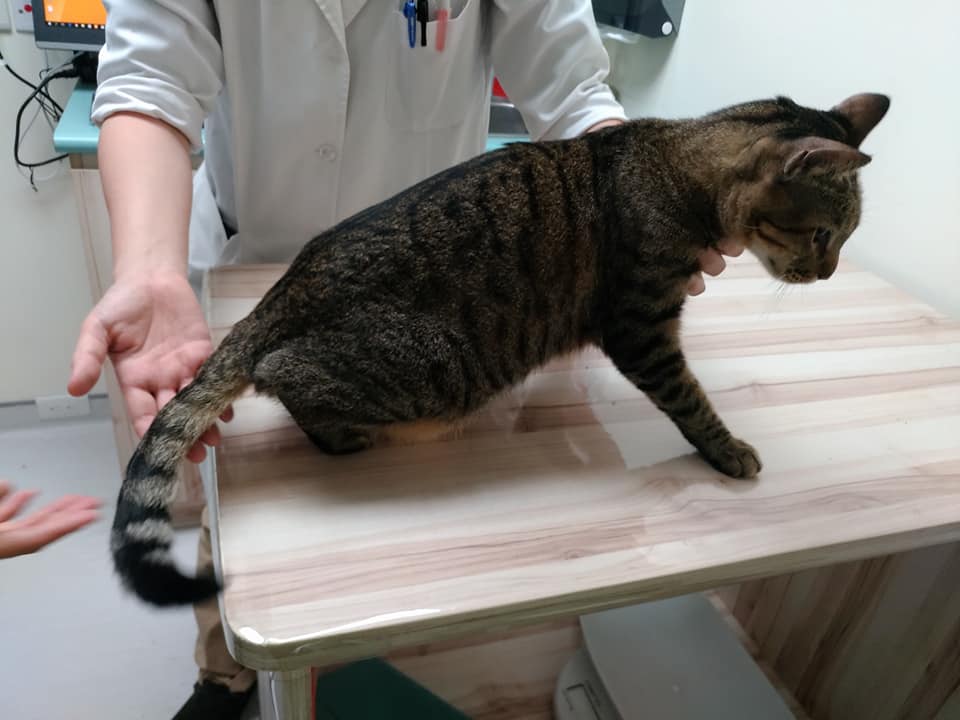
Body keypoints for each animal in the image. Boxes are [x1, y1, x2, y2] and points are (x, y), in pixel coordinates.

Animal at [111, 92, 889, 606]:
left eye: (846, 238)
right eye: (825, 235)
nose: (829, 274)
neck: (673, 164)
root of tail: (280, 295)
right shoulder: (642, 328)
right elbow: (690, 400)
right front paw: (727, 449)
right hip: (439, 365)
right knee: (283, 374)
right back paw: (342, 434)